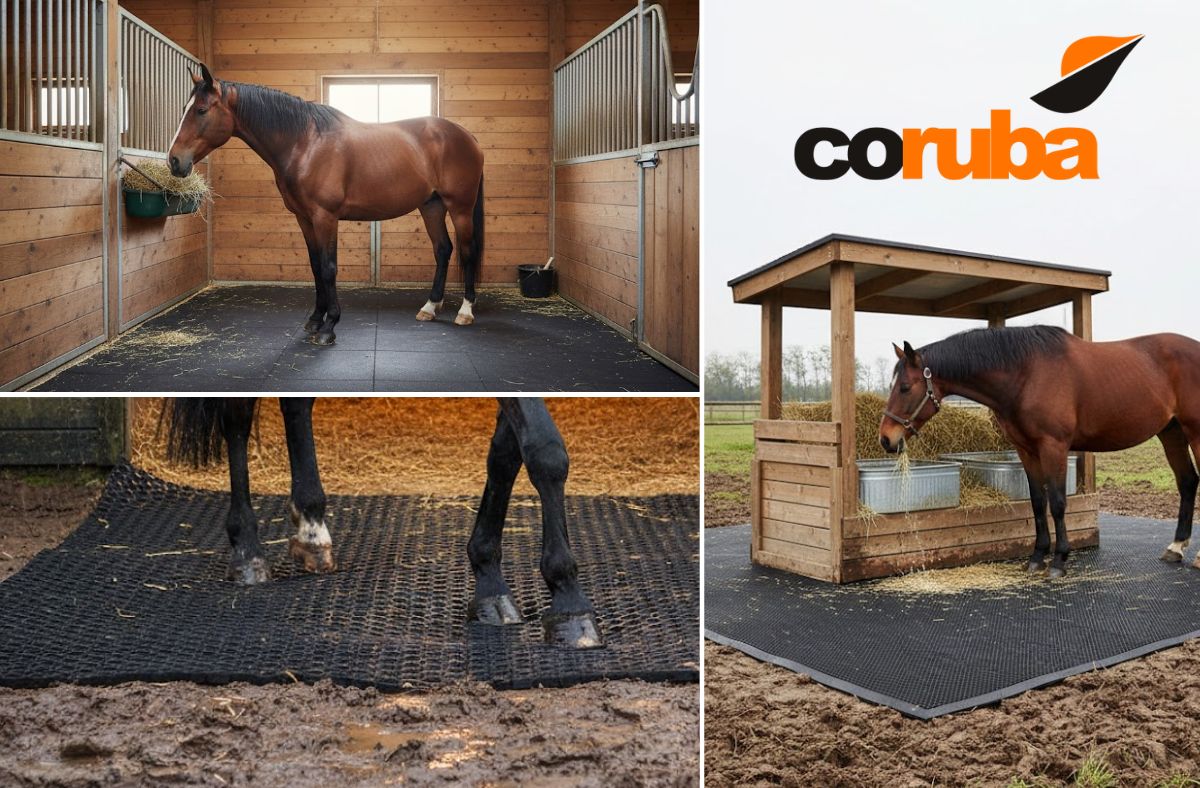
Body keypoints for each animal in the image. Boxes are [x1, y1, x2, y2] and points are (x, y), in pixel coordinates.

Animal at [164, 397, 602, 649]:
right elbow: (544, 450)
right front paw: (569, 602)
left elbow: (506, 452)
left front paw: (489, 583)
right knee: (237, 416)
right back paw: (247, 550)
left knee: (296, 404)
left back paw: (311, 527)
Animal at [166, 64, 486, 346]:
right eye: (183, 109)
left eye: (201, 110)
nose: (174, 161)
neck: (305, 143)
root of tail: (468, 137)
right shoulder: (305, 218)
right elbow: (315, 266)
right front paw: (315, 319)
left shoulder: (325, 217)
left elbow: (329, 267)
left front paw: (329, 326)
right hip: (431, 206)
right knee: (443, 249)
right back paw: (430, 307)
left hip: (460, 207)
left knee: (467, 251)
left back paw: (465, 312)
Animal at [879, 325, 1200, 578]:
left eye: (905, 387)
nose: (886, 439)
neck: (1027, 373)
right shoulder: (1027, 450)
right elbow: (1036, 502)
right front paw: (1036, 558)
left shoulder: (1053, 446)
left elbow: (1057, 503)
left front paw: (1058, 561)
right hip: (1171, 431)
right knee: (1187, 481)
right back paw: (1176, 547)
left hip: (1195, 432)